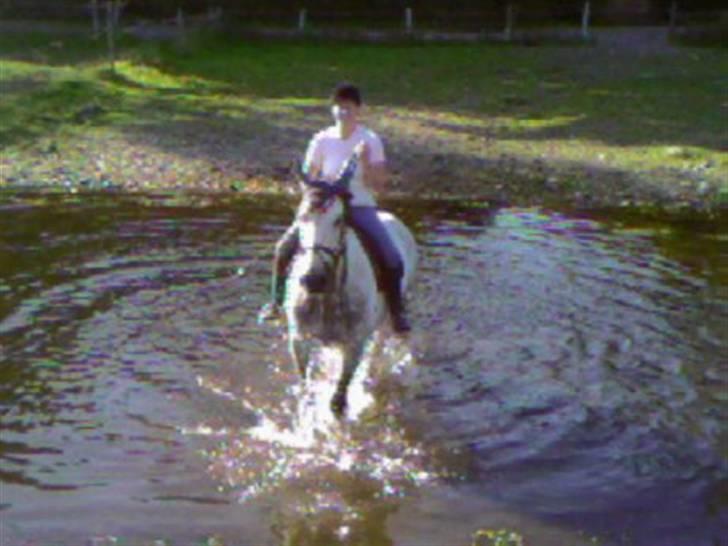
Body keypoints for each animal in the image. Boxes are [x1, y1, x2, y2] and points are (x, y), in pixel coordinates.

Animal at [286, 157, 420, 416]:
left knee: (379, 346)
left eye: (339, 220)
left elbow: (337, 401)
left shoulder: (355, 345)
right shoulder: (299, 340)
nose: (313, 279)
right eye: (300, 216)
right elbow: (304, 392)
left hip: (387, 319)